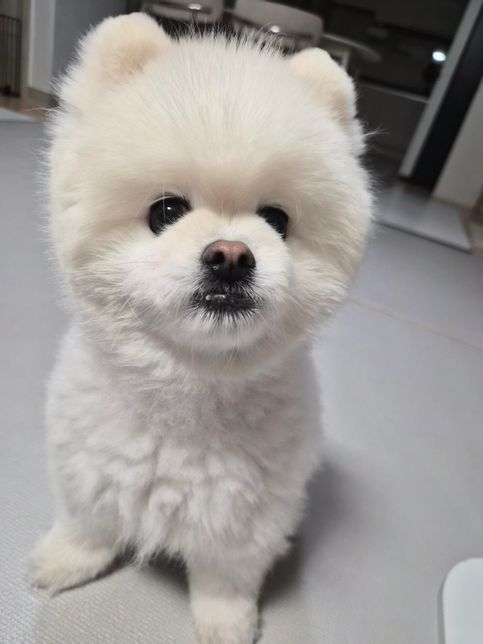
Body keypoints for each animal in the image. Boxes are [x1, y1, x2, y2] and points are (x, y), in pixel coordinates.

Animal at [28, 13, 372, 644]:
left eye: (276, 220)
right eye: (166, 212)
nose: (231, 255)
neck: (188, 391)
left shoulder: (247, 517)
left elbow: (224, 577)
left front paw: (225, 623)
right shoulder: (87, 465)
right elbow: (90, 523)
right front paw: (66, 560)